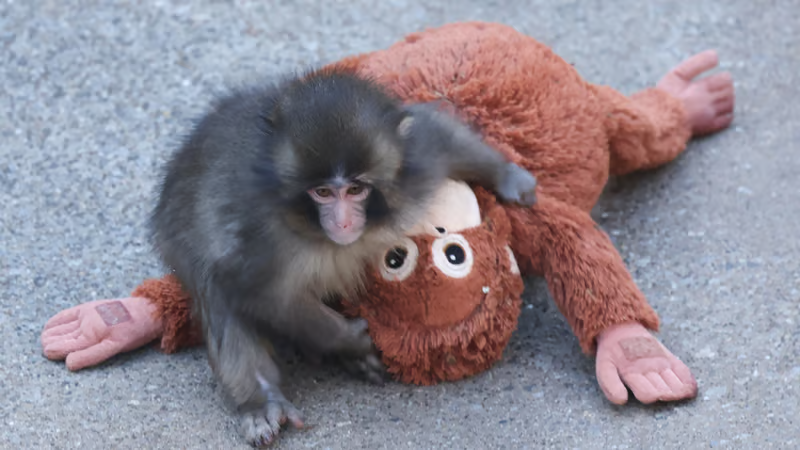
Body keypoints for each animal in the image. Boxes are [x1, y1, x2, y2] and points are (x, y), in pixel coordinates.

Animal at [148, 67, 537, 447]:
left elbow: (437, 134)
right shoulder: (259, 235)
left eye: (355, 189)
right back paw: (261, 400)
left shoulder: (414, 165)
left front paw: (509, 177)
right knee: (214, 288)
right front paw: (349, 339)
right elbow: (258, 292)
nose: (343, 221)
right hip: (176, 238)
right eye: (322, 192)